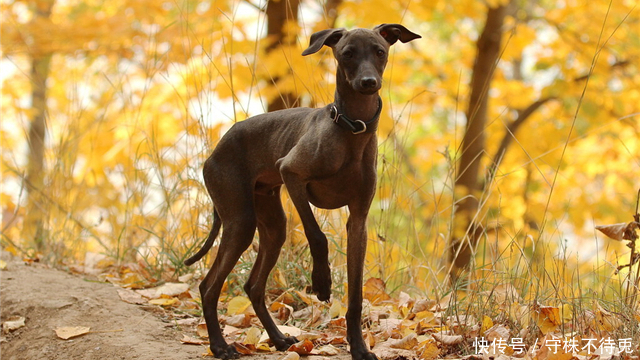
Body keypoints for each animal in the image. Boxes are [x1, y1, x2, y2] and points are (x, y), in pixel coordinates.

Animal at [185, 24, 420, 360]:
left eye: (380, 51)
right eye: (347, 53)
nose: (368, 83)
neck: (351, 129)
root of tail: (215, 151)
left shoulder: (358, 222)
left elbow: (356, 295)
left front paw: (359, 347)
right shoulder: (291, 173)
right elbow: (317, 235)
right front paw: (321, 282)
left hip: (273, 225)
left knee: (253, 287)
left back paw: (279, 338)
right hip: (241, 221)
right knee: (209, 286)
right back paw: (220, 345)